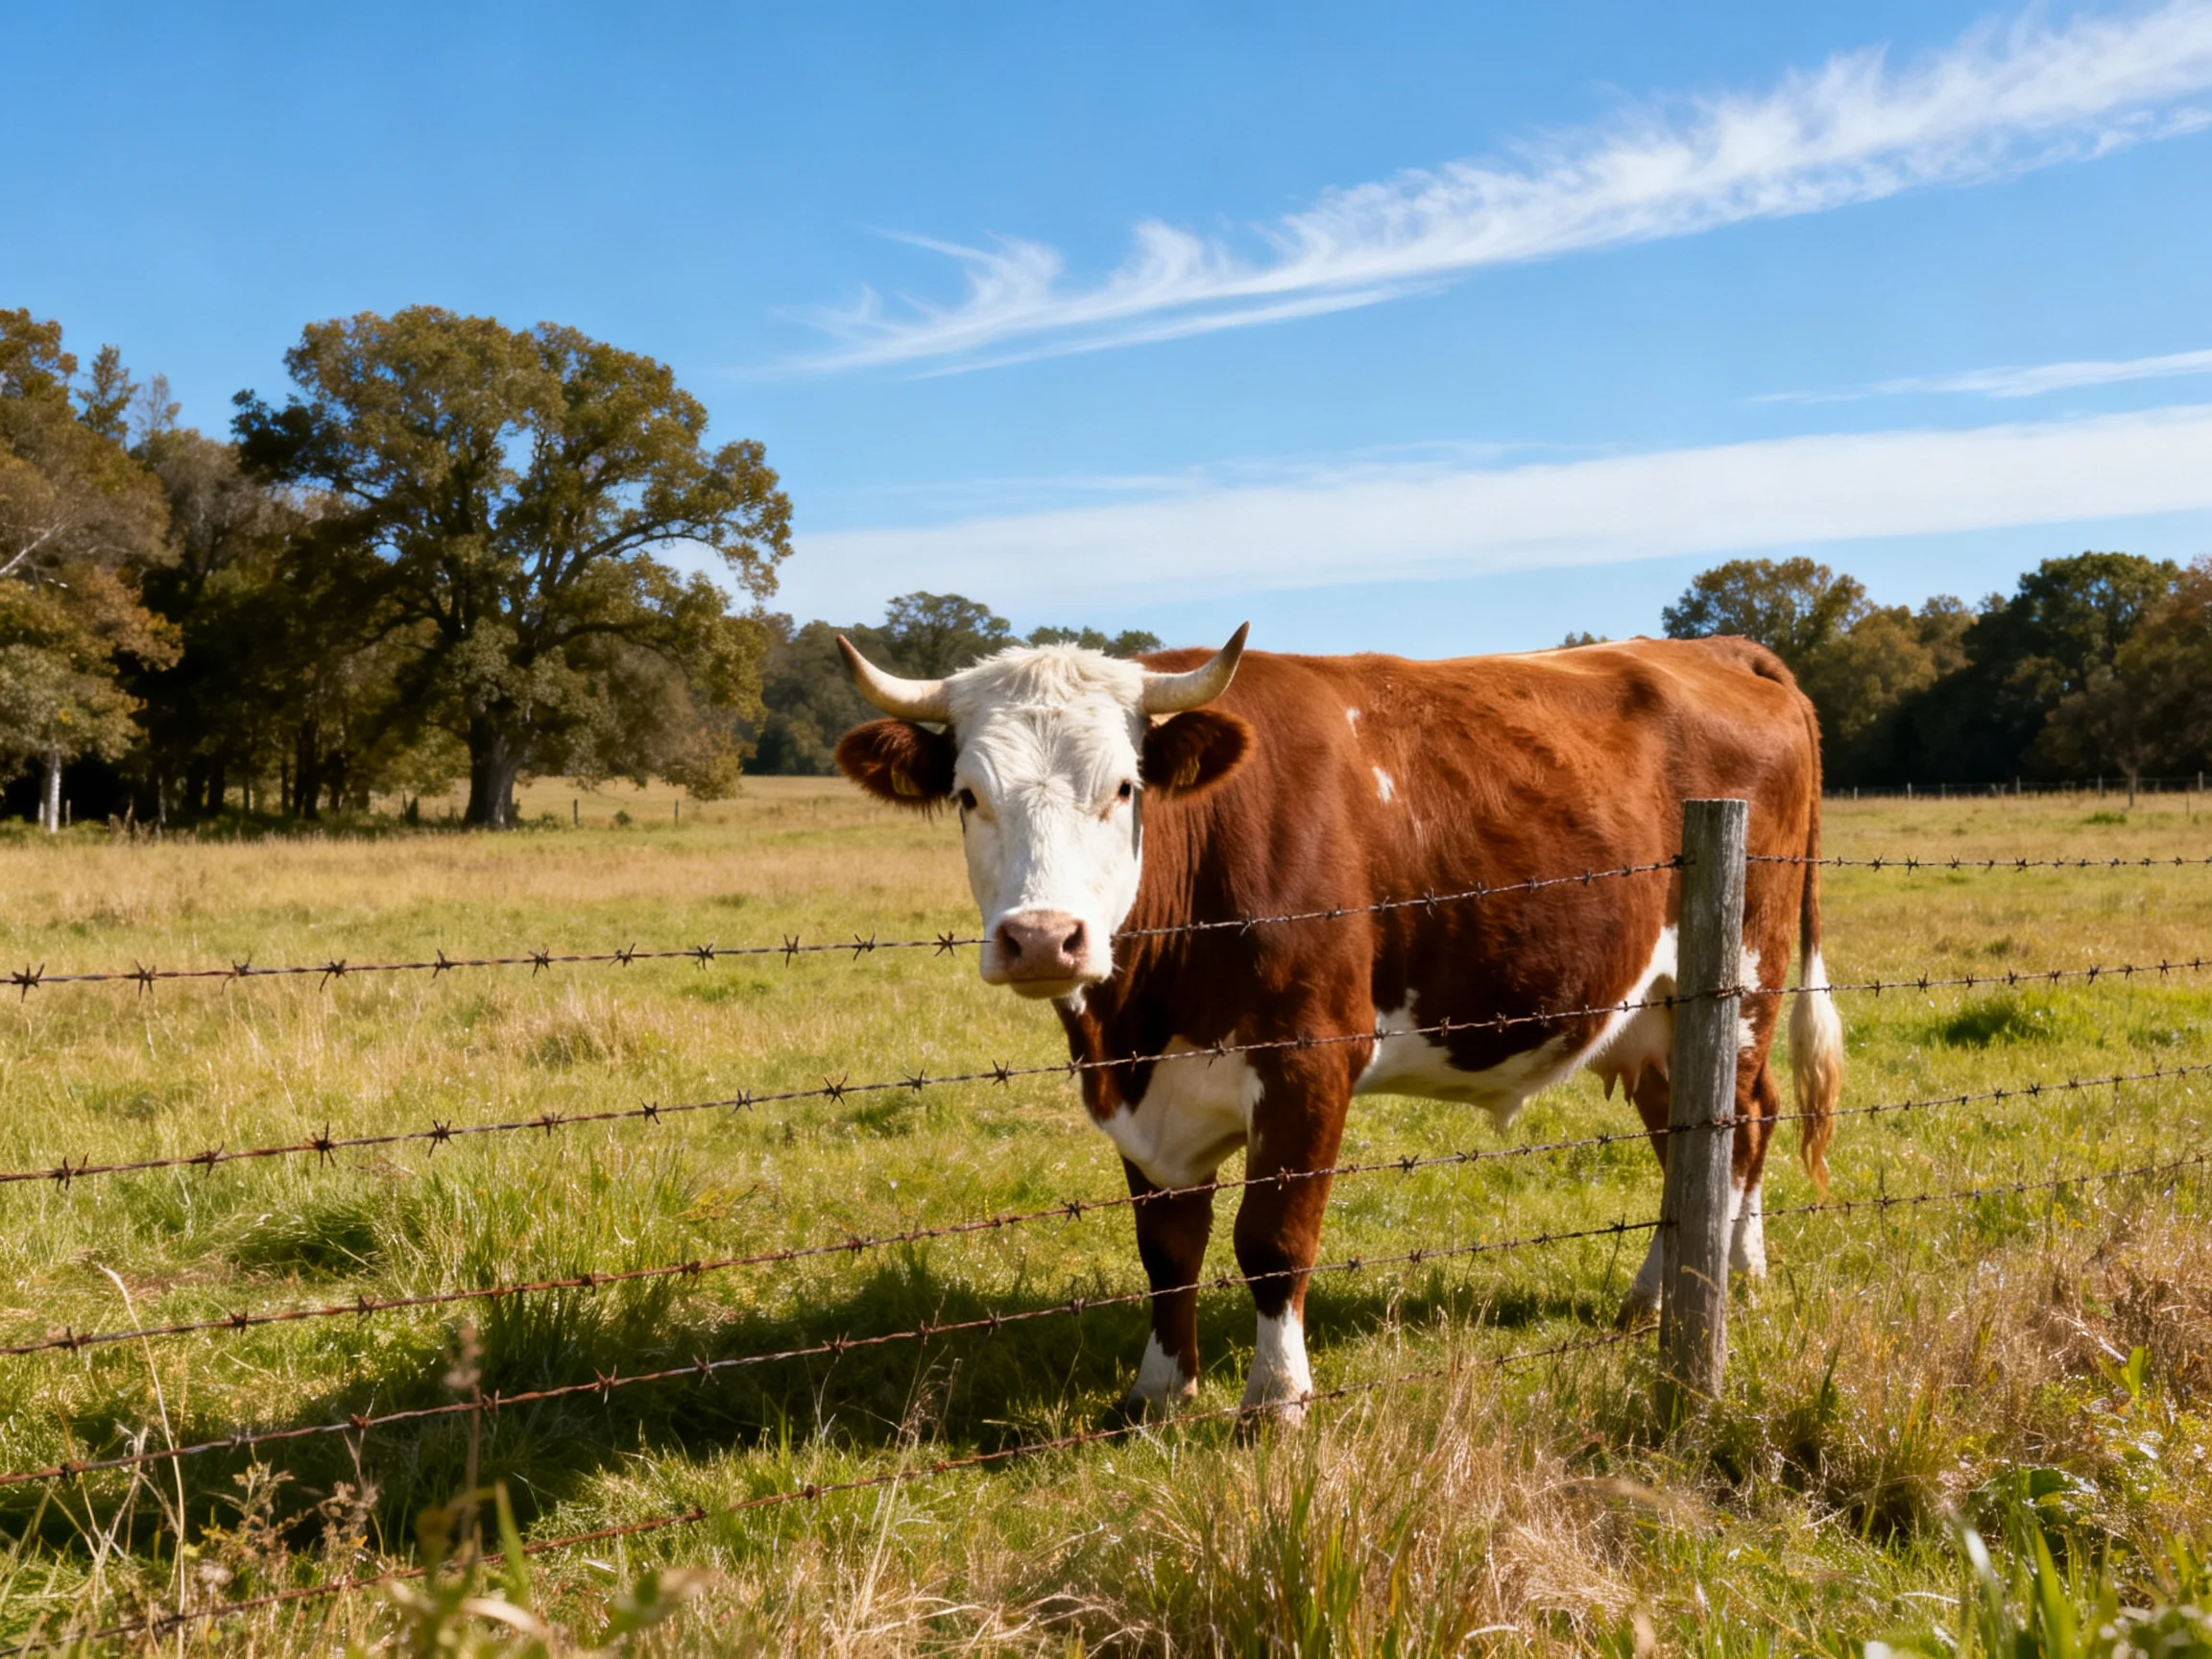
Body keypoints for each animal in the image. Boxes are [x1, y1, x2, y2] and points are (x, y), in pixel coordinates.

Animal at [832, 629, 1844, 1424]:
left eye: (1122, 788)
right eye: (969, 796)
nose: (1043, 937)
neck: (1138, 1024)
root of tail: (1716, 651)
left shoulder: (1311, 1060)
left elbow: (1272, 1243)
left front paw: (1275, 1401)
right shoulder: (1144, 1092)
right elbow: (1168, 1249)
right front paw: (1158, 1392)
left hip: (1742, 984)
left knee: (1739, 1127)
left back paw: (1723, 1283)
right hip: (1655, 1021)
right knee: (1693, 1141)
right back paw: (1665, 1295)